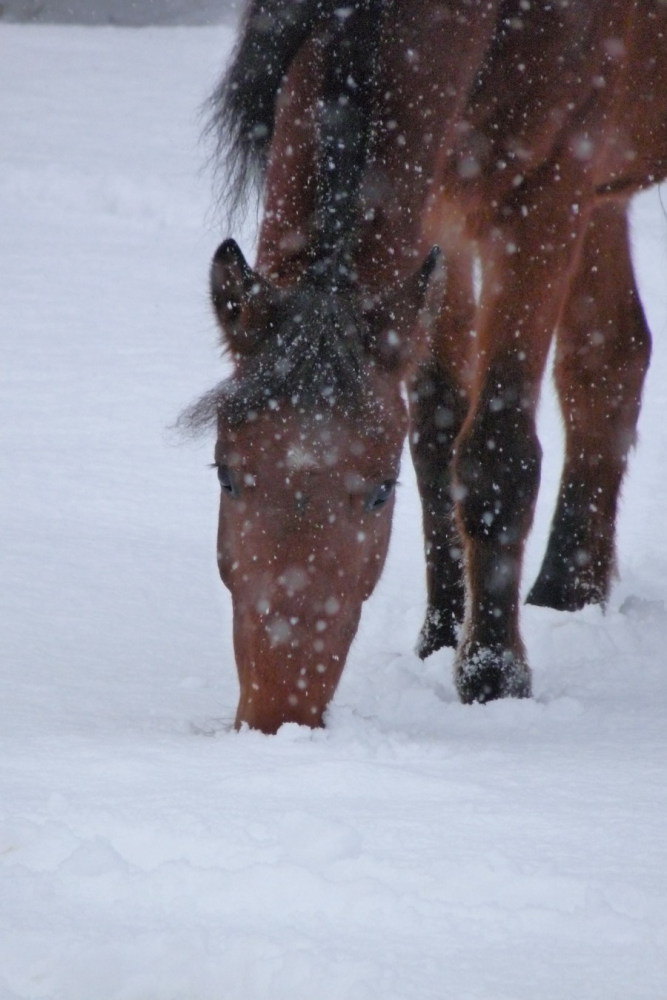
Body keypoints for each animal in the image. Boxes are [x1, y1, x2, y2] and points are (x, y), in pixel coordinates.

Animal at [184, 0, 667, 736]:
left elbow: (495, 455)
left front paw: (493, 674)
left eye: (379, 493)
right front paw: (440, 637)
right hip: (602, 202)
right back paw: (566, 594)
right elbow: (437, 434)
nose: (279, 717)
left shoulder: (544, 198)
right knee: (609, 360)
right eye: (227, 475)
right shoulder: (440, 214)